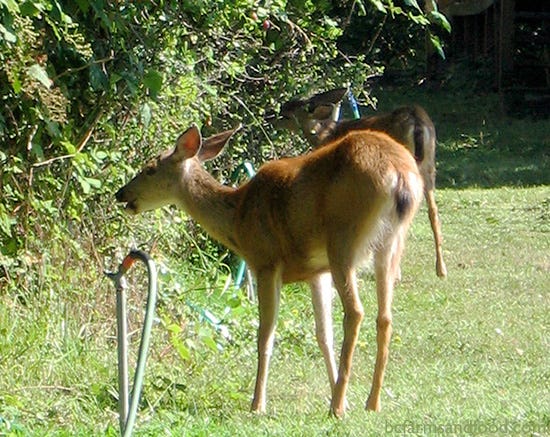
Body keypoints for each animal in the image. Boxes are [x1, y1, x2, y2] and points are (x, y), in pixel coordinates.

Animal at [116, 122, 424, 416]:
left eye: (150, 169)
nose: (121, 193)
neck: (237, 219)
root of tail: (400, 175)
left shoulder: (265, 261)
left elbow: (265, 334)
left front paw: (257, 403)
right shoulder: (316, 271)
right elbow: (323, 334)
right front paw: (343, 395)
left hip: (343, 240)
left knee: (356, 312)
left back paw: (336, 407)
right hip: (389, 245)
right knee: (385, 317)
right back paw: (370, 402)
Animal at [274, 88, 450, 278]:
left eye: (287, 112)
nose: (272, 116)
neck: (325, 135)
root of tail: (416, 122)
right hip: (429, 166)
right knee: (433, 212)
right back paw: (441, 269)